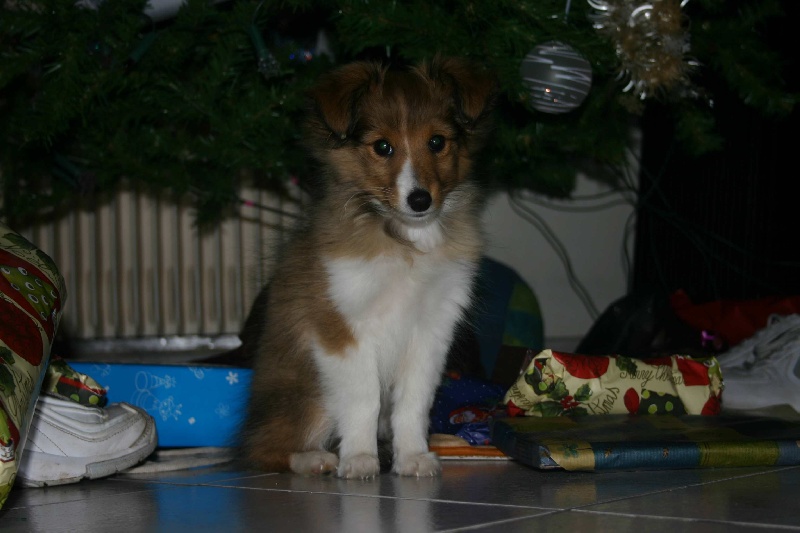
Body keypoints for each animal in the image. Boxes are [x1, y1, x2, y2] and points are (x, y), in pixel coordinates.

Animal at [241, 55, 496, 478]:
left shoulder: (431, 331)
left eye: (437, 142)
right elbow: (364, 398)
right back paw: (315, 458)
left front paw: (412, 457)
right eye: (383, 147)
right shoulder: (342, 327)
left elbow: (413, 402)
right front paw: (360, 459)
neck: (404, 239)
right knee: (264, 449)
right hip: (310, 393)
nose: (420, 201)